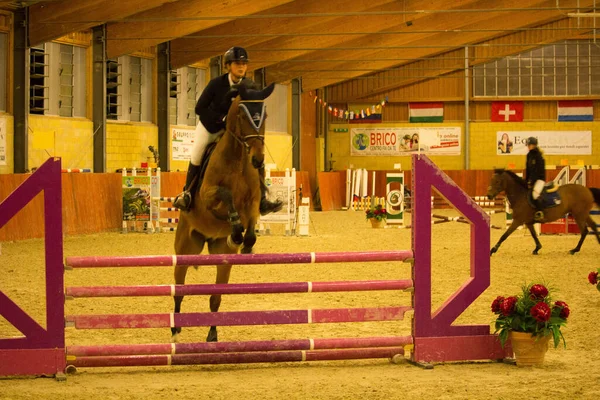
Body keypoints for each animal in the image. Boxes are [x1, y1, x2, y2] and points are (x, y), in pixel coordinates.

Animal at [170, 83, 276, 342]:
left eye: (265, 115)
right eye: (242, 115)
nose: (258, 160)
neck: (238, 159)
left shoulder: (253, 201)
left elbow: (251, 223)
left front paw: (244, 241)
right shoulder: (209, 195)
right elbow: (227, 198)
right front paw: (236, 231)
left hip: (222, 258)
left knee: (215, 297)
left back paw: (212, 335)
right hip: (185, 250)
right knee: (179, 291)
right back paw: (175, 331)